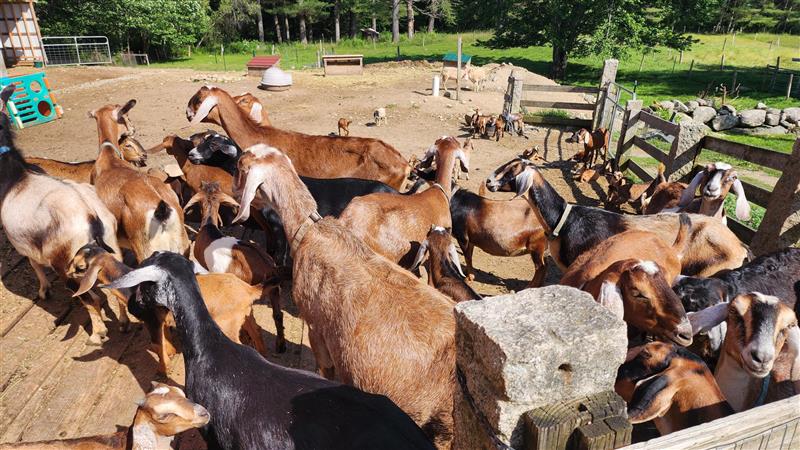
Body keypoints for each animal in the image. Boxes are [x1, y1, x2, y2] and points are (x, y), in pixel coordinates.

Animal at [0, 85, 123, 345]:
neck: (14, 177)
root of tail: (91, 215)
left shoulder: (26, 245)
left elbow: (34, 264)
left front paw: (44, 290)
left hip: (65, 262)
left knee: (89, 298)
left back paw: (97, 334)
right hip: (111, 245)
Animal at [70, 243, 272, 374]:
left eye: (80, 267)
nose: (68, 276)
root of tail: (248, 290)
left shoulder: (151, 320)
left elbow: (156, 344)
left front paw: (162, 371)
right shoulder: (161, 320)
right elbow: (163, 339)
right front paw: (172, 352)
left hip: (227, 324)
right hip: (246, 316)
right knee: (257, 332)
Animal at [89, 100, 189, 262]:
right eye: (127, 116)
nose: (133, 128)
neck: (109, 158)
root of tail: (163, 210)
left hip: (145, 251)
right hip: (183, 246)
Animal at [185, 181, 286, 353]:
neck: (209, 227)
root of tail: (267, 267)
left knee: (255, 327)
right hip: (273, 289)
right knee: (278, 315)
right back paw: (281, 345)